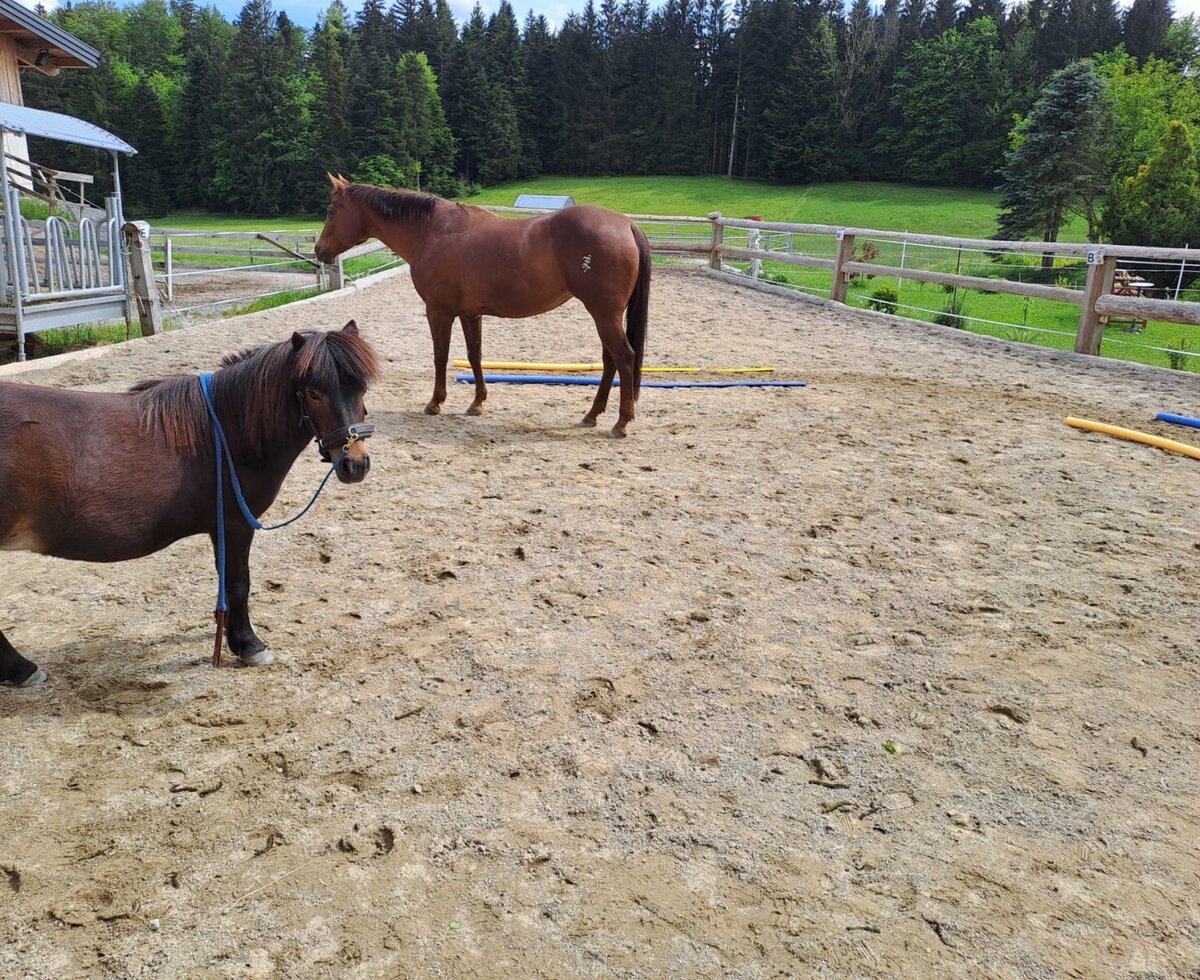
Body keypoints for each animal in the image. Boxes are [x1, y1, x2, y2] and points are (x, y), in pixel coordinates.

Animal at [0, 321, 380, 688]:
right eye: (313, 393)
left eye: (361, 388)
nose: (355, 464)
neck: (225, 431)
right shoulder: (236, 524)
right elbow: (238, 584)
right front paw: (249, 645)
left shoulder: (221, 528)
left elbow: (225, 582)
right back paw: (21, 669)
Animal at [314, 175, 651, 438]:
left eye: (331, 210)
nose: (319, 250)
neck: (431, 232)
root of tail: (626, 224)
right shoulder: (470, 314)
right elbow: (474, 356)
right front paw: (477, 403)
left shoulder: (438, 312)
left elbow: (440, 356)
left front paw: (435, 403)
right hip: (606, 315)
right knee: (610, 361)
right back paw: (592, 415)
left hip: (604, 315)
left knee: (624, 357)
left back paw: (621, 423)